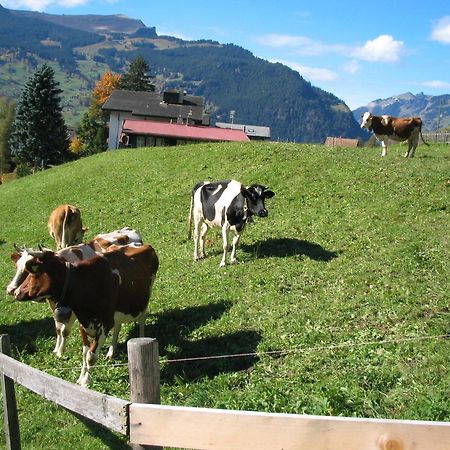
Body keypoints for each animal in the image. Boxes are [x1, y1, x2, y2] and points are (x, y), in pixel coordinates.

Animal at [14, 243, 158, 386]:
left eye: (34, 272)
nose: (16, 292)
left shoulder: (105, 324)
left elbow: (91, 357)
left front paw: (85, 382)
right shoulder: (83, 323)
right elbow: (84, 353)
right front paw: (81, 377)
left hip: (146, 296)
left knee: (141, 320)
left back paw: (141, 337)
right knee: (117, 327)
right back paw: (111, 352)